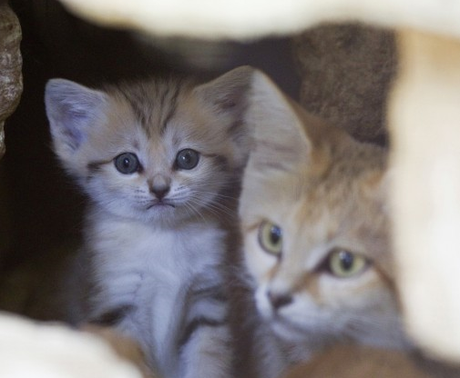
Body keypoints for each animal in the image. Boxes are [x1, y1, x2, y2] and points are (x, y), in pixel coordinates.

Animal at [45, 67, 253, 378]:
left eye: (187, 158)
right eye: (126, 163)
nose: (159, 188)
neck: (162, 237)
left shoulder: (207, 301)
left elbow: (208, 358)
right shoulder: (117, 303)